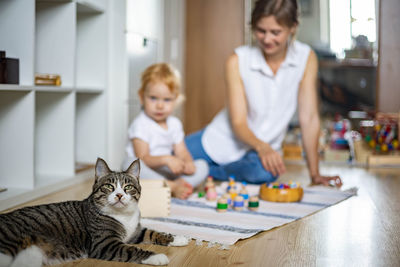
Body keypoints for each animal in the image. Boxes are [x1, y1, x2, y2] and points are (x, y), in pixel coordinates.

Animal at [0, 158, 188, 266]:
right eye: (109, 186)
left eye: (127, 187)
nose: (119, 195)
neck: (124, 216)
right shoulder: (105, 243)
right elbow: (132, 250)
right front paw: (157, 257)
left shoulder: (135, 232)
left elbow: (153, 232)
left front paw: (178, 238)